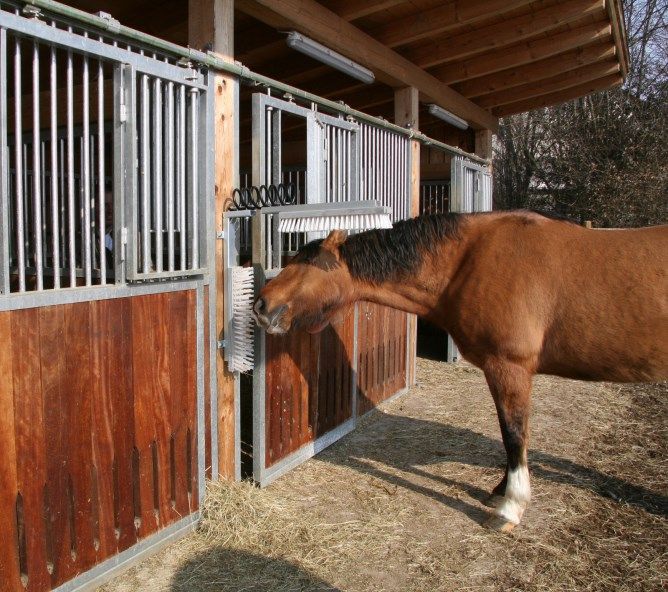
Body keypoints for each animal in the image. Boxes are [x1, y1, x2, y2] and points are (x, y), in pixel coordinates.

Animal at [253, 212, 664, 532]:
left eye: (304, 265)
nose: (261, 306)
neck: (471, 261)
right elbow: (511, 436)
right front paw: (500, 491)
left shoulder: (509, 368)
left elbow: (514, 435)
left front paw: (510, 507)